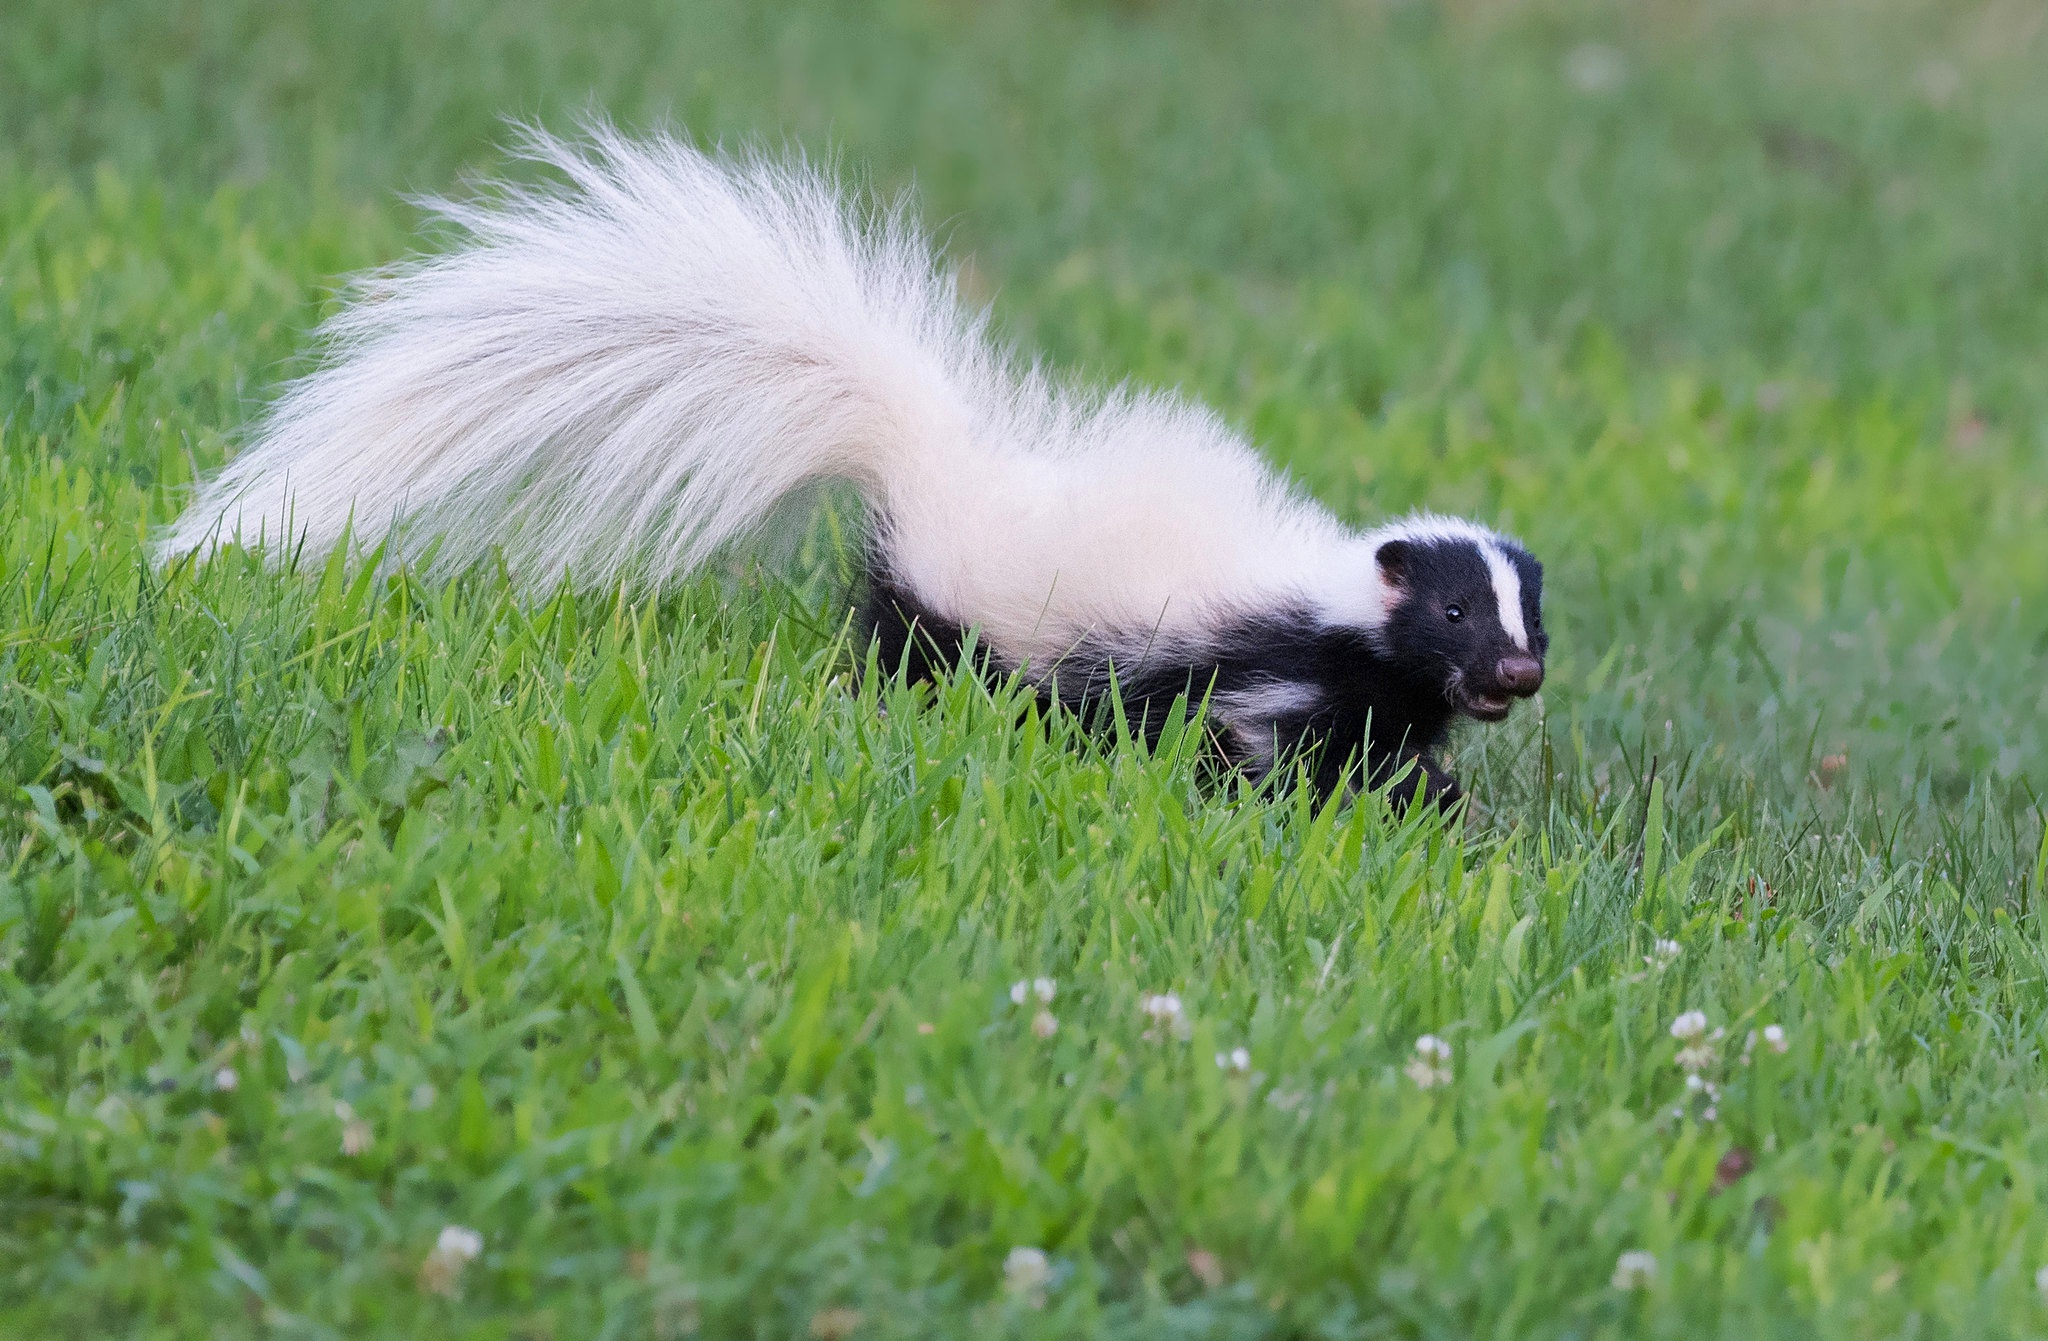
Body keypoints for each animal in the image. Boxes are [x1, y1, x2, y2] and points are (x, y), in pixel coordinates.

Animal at [159, 131, 1540, 806]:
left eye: (1529, 620)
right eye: (1453, 614)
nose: (1515, 676)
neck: (1337, 603)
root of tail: (927, 454)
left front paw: (1429, 802)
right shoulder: (1255, 665)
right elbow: (1254, 749)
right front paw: (1365, 813)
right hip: (938, 615)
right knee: (911, 663)